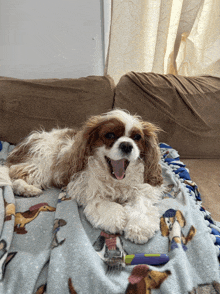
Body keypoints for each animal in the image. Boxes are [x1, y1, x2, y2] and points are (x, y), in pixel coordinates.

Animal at [4, 109, 163, 245]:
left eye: (137, 137)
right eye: (110, 135)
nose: (127, 145)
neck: (115, 179)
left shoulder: (143, 188)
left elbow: (141, 203)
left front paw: (139, 228)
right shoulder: (85, 186)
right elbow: (100, 200)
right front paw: (115, 217)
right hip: (43, 161)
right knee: (14, 174)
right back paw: (28, 189)